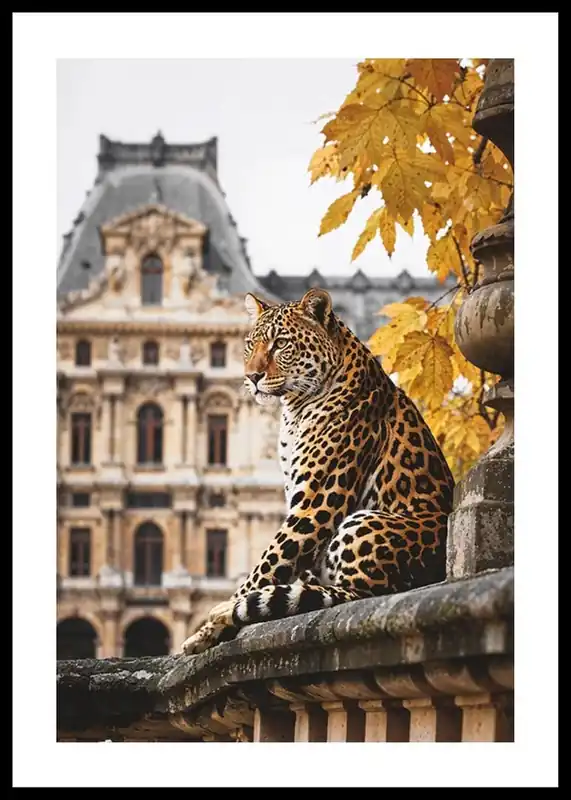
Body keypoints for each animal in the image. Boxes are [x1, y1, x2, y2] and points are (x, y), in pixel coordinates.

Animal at [181, 287, 454, 656]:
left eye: (281, 343)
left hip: (363, 522)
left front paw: (210, 627)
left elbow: (266, 565)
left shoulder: (315, 503)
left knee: (353, 596)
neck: (294, 409)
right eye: (251, 344)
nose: (251, 377)